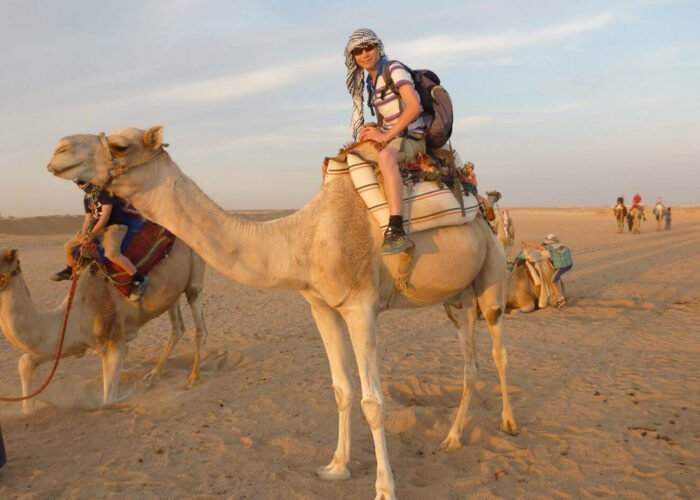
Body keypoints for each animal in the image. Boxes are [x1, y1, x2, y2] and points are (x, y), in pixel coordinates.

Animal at [0, 242, 208, 413]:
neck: (79, 307)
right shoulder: (71, 342)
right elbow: (25, 362)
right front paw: (30, 408)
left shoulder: (114, 343)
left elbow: (108, 400)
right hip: (172, 294)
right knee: (177, 328)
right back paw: (153, 375)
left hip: (194, 277)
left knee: (199, 326)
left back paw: (193, 379)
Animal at [47, 125, 517, 500]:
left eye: (120, 145)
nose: (59, 150)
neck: (303, 239)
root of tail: (482, 205)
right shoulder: (322, 306)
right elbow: (342, 390)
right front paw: (336, 467)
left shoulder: (361, 307)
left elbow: (373, 401)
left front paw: (385, 489)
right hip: (456, 300)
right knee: (470, 364)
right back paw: (452, 438)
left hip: (491, 277)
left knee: (498, 350)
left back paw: (509, 424)